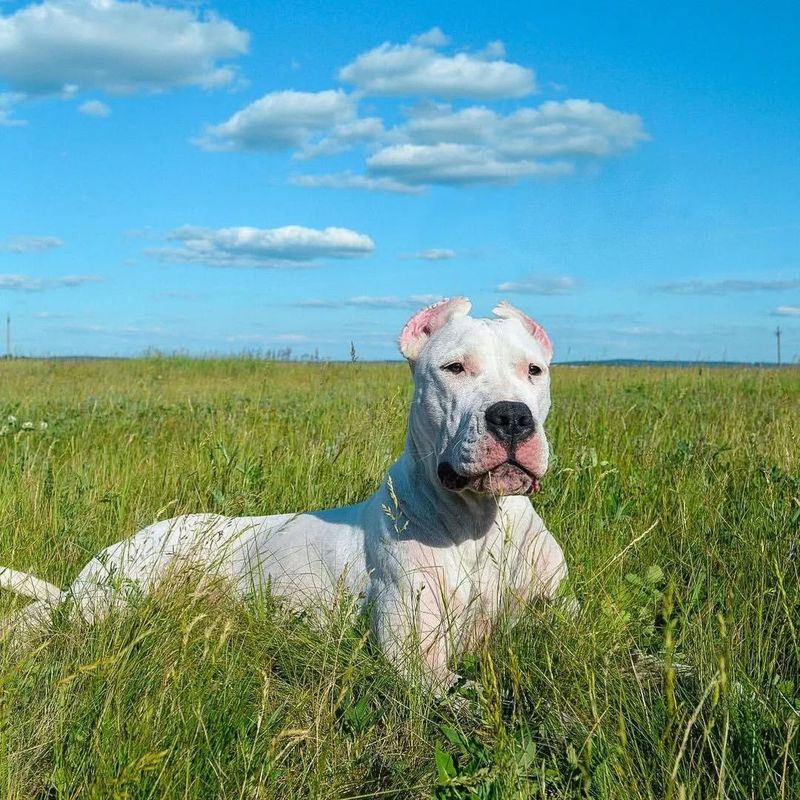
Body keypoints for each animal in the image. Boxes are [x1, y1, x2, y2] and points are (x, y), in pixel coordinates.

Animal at [3, 300, 572, 688]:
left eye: (534, 370)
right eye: (454, 367)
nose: (512, 416)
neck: (481, 523)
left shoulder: (561, 617)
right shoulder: (415, 658)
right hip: (115, 595)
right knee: (49, 618)